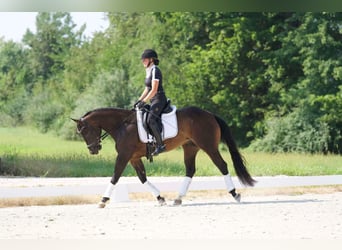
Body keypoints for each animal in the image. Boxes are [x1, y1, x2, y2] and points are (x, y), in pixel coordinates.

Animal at [73, 105, 256, 207]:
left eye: (85, 131)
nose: (93, 150)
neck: (122, 125)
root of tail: (210, 114)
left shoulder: (124, 156)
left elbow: (115, 176)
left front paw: (103, 200)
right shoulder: (133, 158)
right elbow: (142, 178)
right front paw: (160, 198)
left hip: (208, 146)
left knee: (222, 165)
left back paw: (235, 194)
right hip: (190, 147)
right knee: (190, 170)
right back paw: (178, 198)